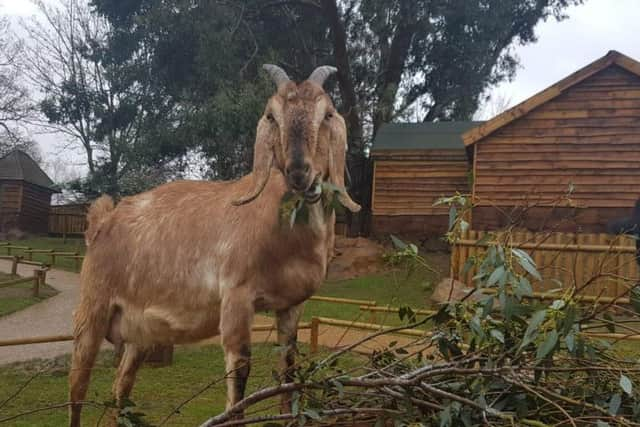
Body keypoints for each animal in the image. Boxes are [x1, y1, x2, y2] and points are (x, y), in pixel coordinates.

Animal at [70, 65, 362, 426]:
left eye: (328, 114)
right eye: (272, 116)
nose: (299, 171)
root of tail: (102, 223)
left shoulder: (292, 305)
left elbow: (289, 370)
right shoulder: (236, 295)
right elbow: (240, 373)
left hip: (140, 333)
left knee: (119, 388)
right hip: (92, 307)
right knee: (77, 387)